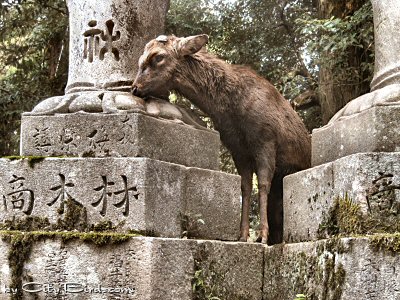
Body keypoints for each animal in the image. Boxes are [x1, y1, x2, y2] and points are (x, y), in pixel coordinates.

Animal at [133, 34, 310, 244]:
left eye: (158, 57)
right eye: (140, 59)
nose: (134, 88)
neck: (230, 112)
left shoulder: (266, 139)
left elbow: (262, 185)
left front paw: (262, 236)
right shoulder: (237, 149)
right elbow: (245, 188)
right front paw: (242, 235)